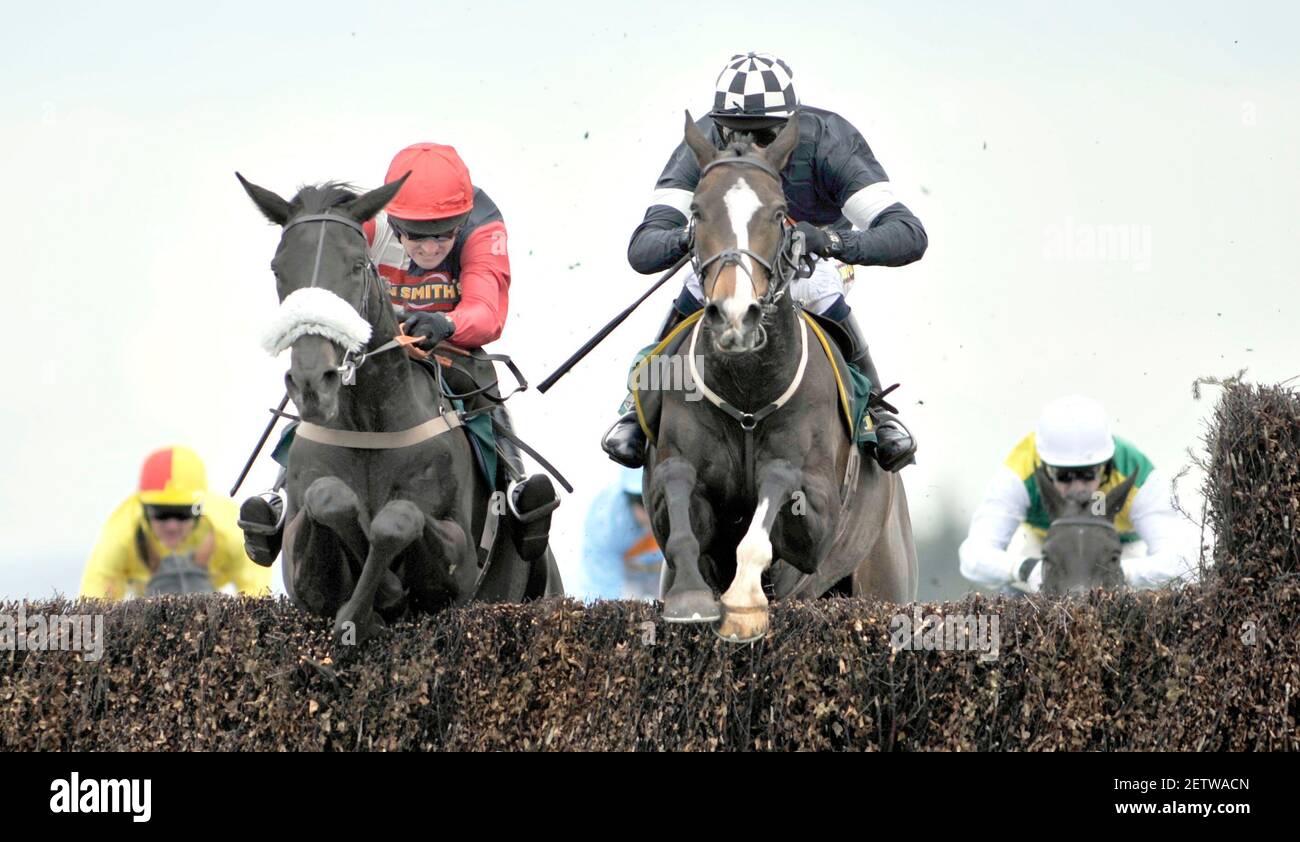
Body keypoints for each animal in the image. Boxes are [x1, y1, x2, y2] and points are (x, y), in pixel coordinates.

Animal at [236, 174, 556, 641]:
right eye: (278, 268)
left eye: (356, 265)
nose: (313, 381)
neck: (370, 426)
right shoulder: (299, 566)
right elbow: (328, 497)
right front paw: (372, 598)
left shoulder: (461, 566)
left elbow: (399, 518)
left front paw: (372, 600)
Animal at [644, 110, 920, 639]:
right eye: (697, 212)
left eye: (778, 213)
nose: (735, 316)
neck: (748, 392)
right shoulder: (673, 484)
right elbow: (678, 488)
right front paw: (691, 598)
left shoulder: (817, 514)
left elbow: (776, 482)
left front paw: (744, 603)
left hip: (885, 579)